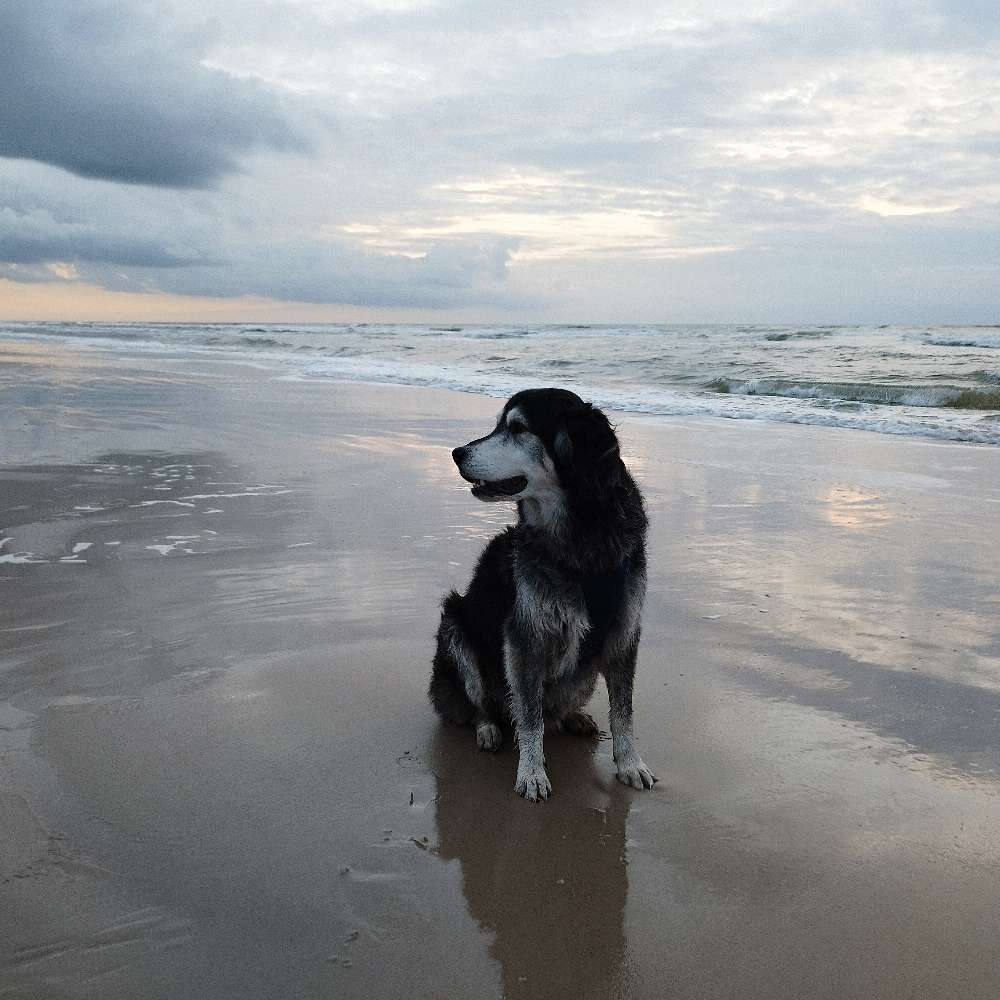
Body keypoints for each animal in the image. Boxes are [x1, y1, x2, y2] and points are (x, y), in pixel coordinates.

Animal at [428, 386, 656, 800]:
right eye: (498, 425)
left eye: (518, 428)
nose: (456, 453)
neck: (582, 539)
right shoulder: (525, 639)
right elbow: (530, 716)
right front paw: (532, 773)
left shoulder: (624, 632)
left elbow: (624, 712)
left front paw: (630, 763)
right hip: (454, 627)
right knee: (484, 703)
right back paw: (488, 728)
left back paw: (572, 717)